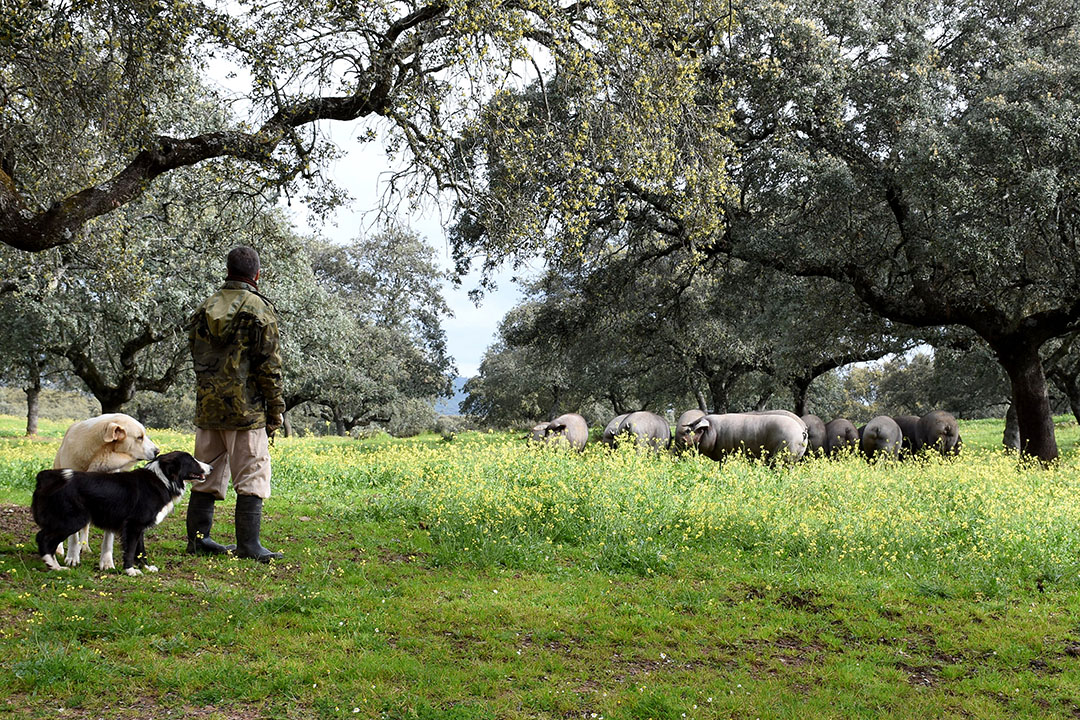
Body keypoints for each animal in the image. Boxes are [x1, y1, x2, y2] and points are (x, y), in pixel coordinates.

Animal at [52, 414, 158, 569]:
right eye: (140, 437)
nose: (158, 451)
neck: (99, 455)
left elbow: (108, 536)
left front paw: (106, 562)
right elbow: (73, 535)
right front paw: (72, 557)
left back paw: (84, 546)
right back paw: (60, 549)